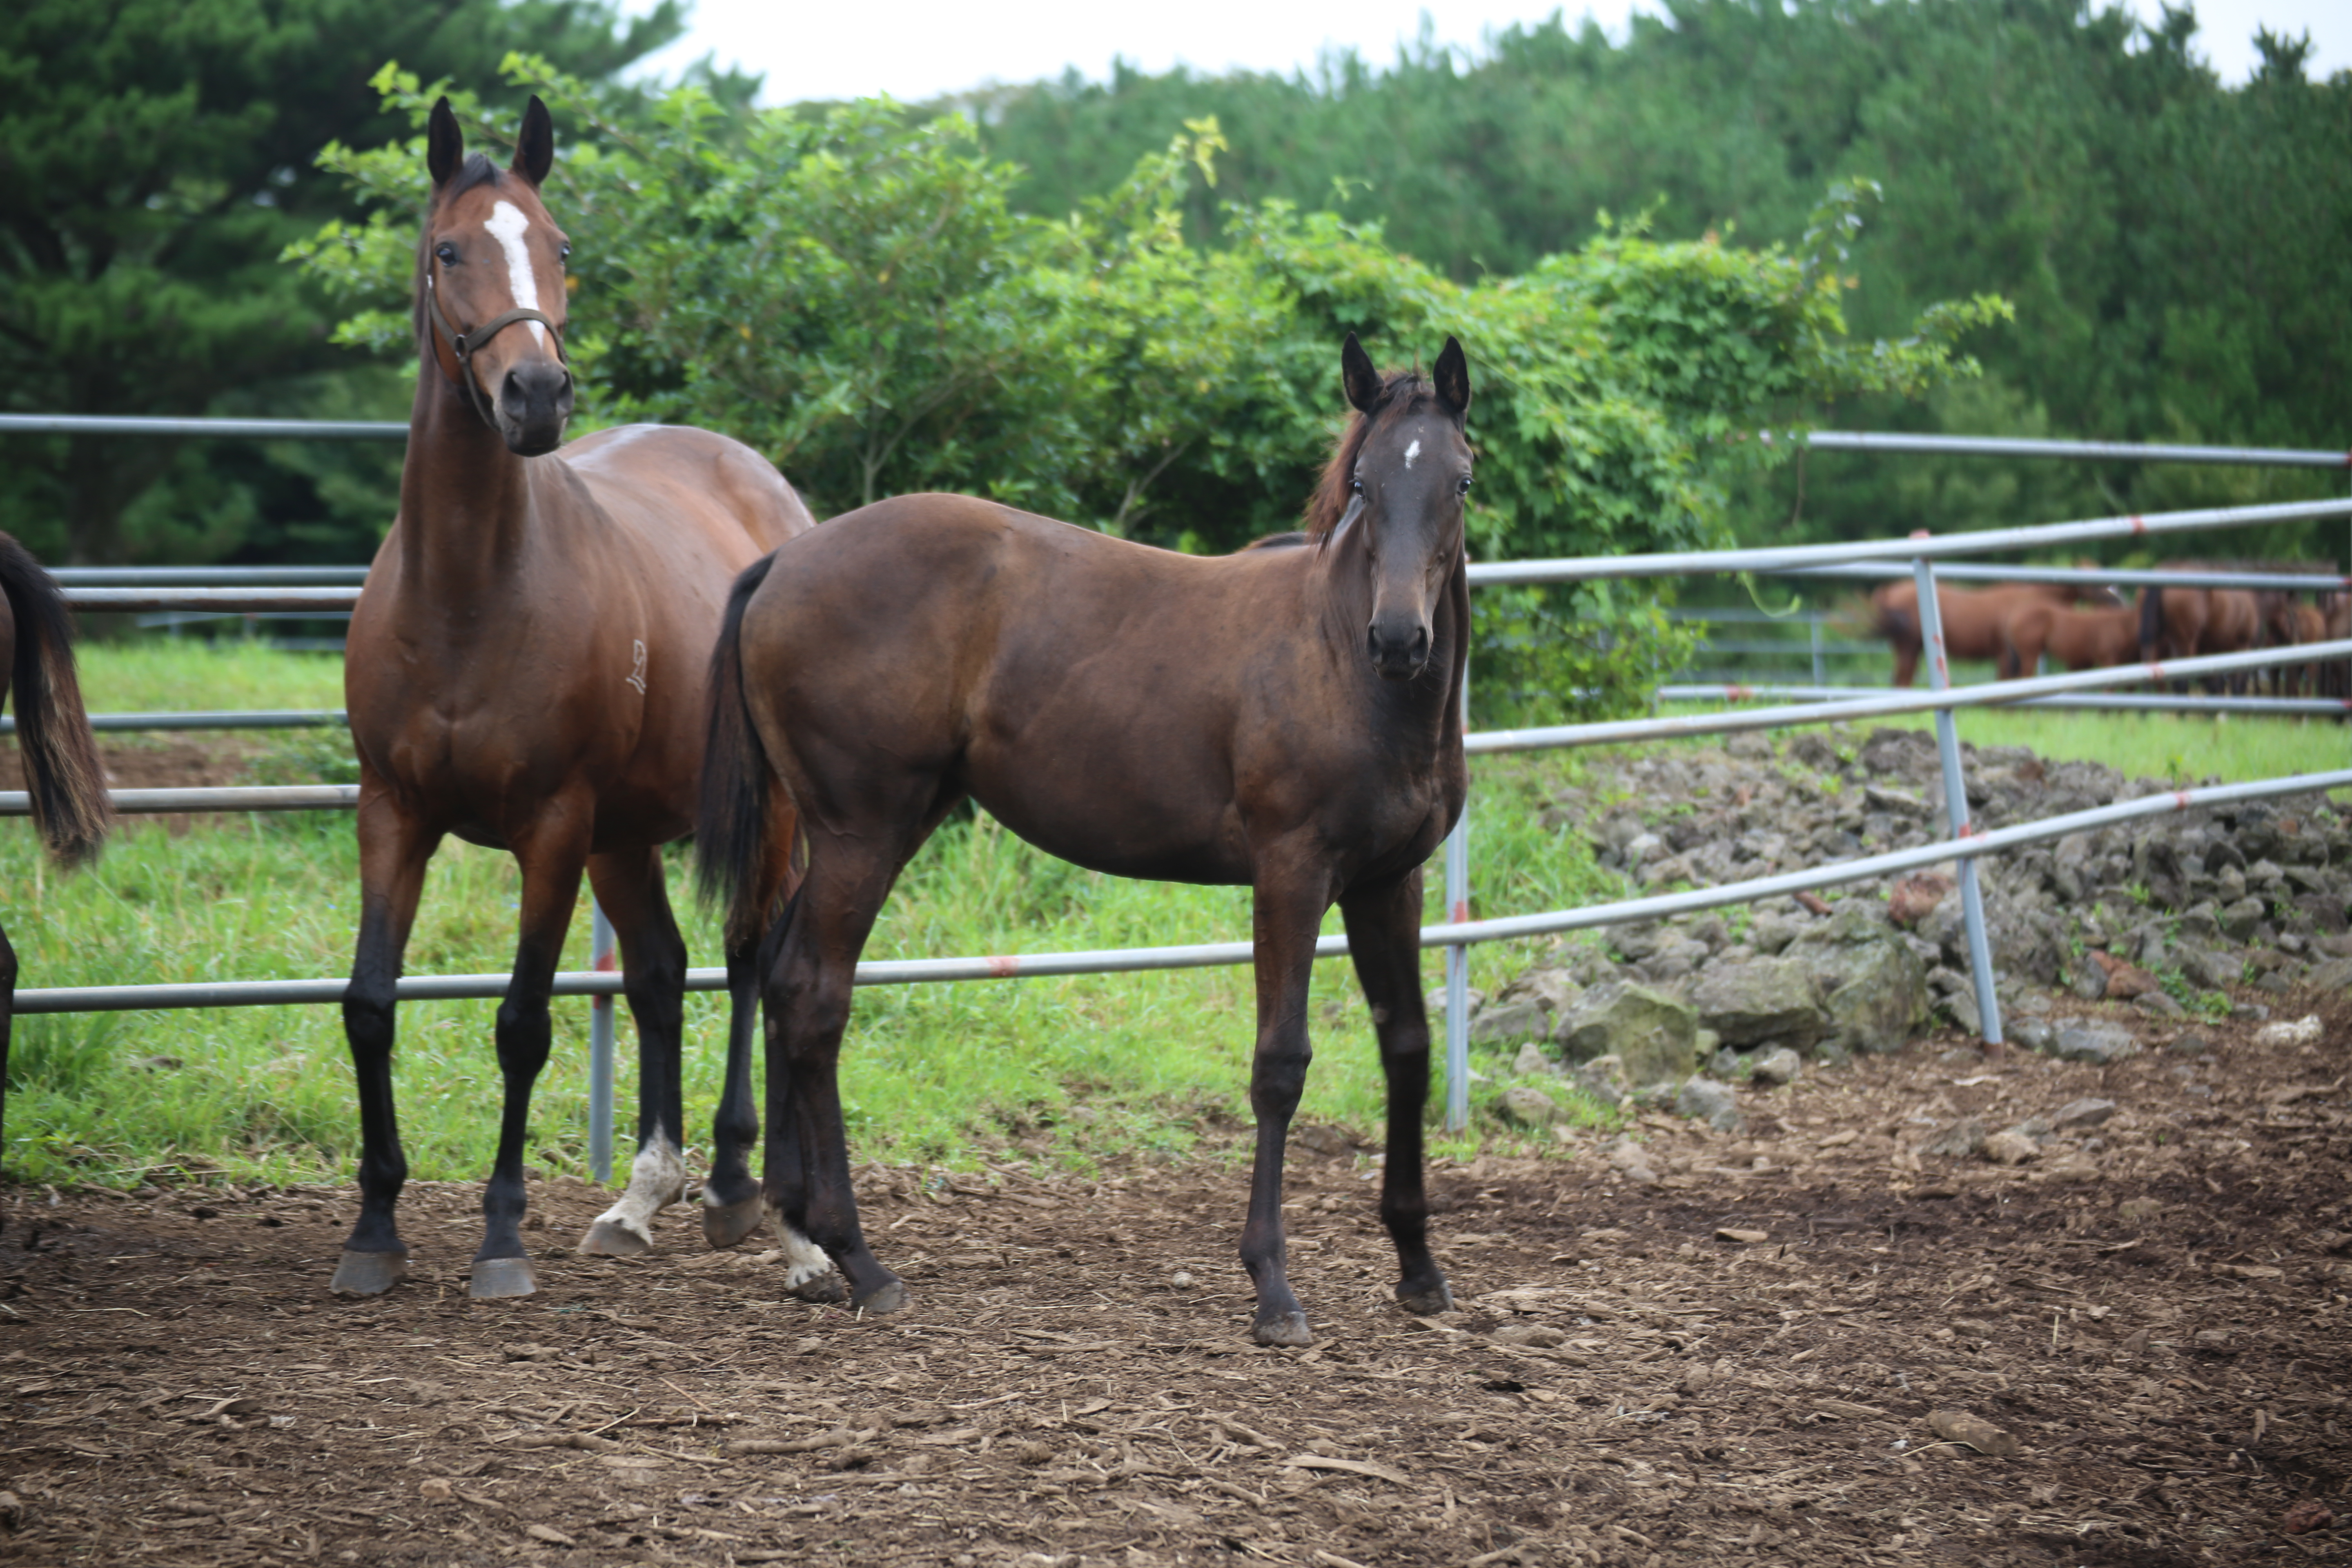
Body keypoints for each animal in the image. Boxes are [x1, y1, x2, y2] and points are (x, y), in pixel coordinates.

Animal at [332, 95, 828, 1297]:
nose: (537, 395)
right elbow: (370, 1005)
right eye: (449, 250)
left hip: (752, 818)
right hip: (628, 832)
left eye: (558, 248)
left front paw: (502, 1238)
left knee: (750, 956)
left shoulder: (551, 828)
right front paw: (375, 1228)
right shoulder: (393, 813)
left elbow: (521, 1023)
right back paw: (643, 1196)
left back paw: (742, 1185)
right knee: (659, 972)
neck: (467, 594)